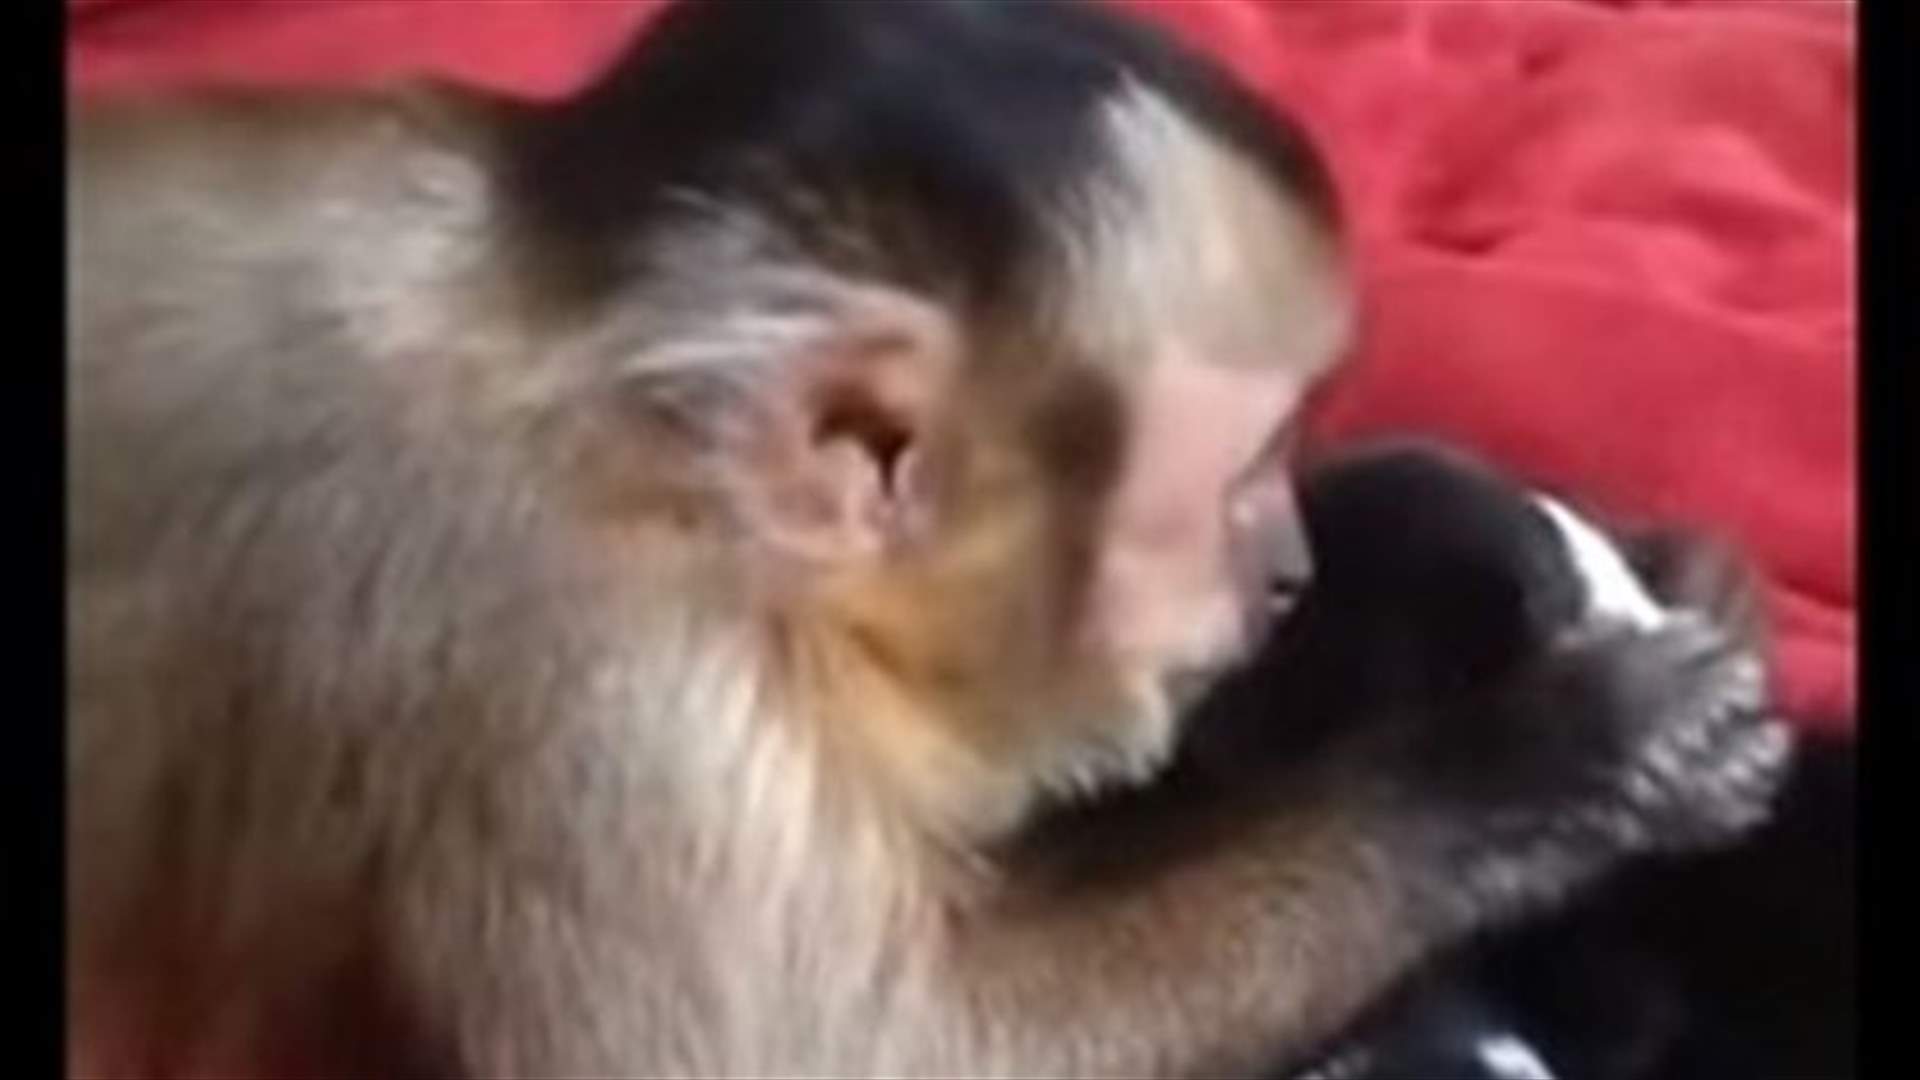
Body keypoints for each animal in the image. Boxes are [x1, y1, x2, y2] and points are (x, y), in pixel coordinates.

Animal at [67, 2, 1789, 1077]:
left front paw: (1683, 580)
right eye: (1247, 476)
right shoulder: (589, 684)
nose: (1287, 565)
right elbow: (821, 1056)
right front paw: (1532, 768)